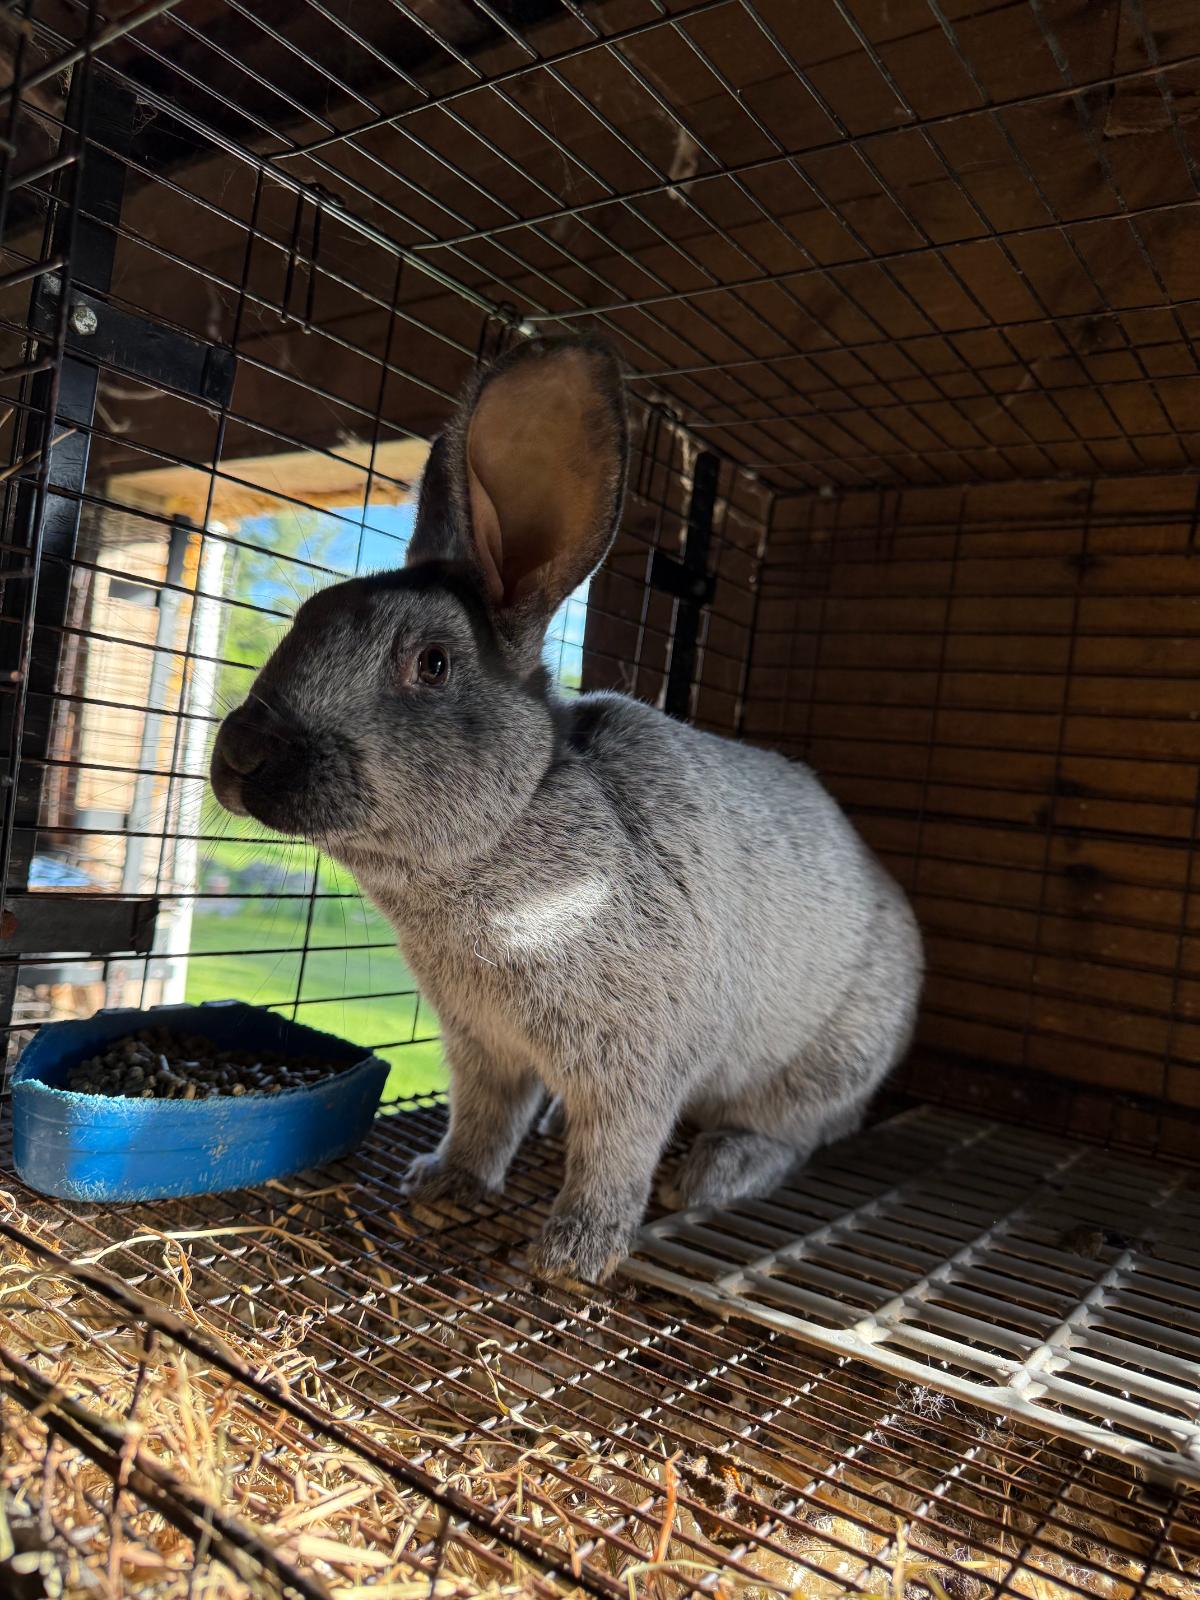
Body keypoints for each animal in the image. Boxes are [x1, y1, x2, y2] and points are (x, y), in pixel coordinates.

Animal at [210, 335, 924, 1283]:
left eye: (432, 663)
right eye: (306, 613)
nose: (240, 756)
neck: (503, 844)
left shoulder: (637, 1066)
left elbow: (615, 1155)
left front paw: (572, 1255)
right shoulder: (483, 1050)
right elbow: (483, 1121)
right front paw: (443, 1188)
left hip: (823, 1064)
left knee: (795, 1132)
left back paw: (714, 1173)